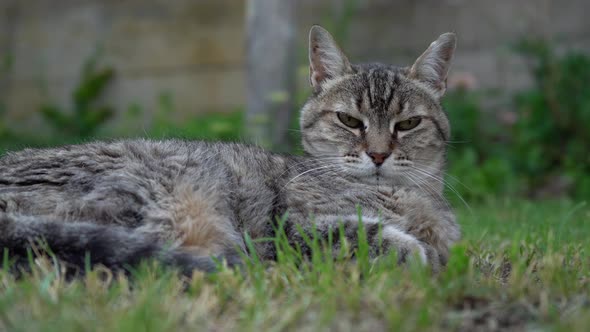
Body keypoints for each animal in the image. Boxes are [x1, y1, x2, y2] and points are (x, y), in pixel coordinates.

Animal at [0, 26, 462, 274]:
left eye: (408, 124)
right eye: (349, 121)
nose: (379, 155)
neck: (404, 196)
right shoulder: (295, 225)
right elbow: (367, 233)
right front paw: (418, 254)